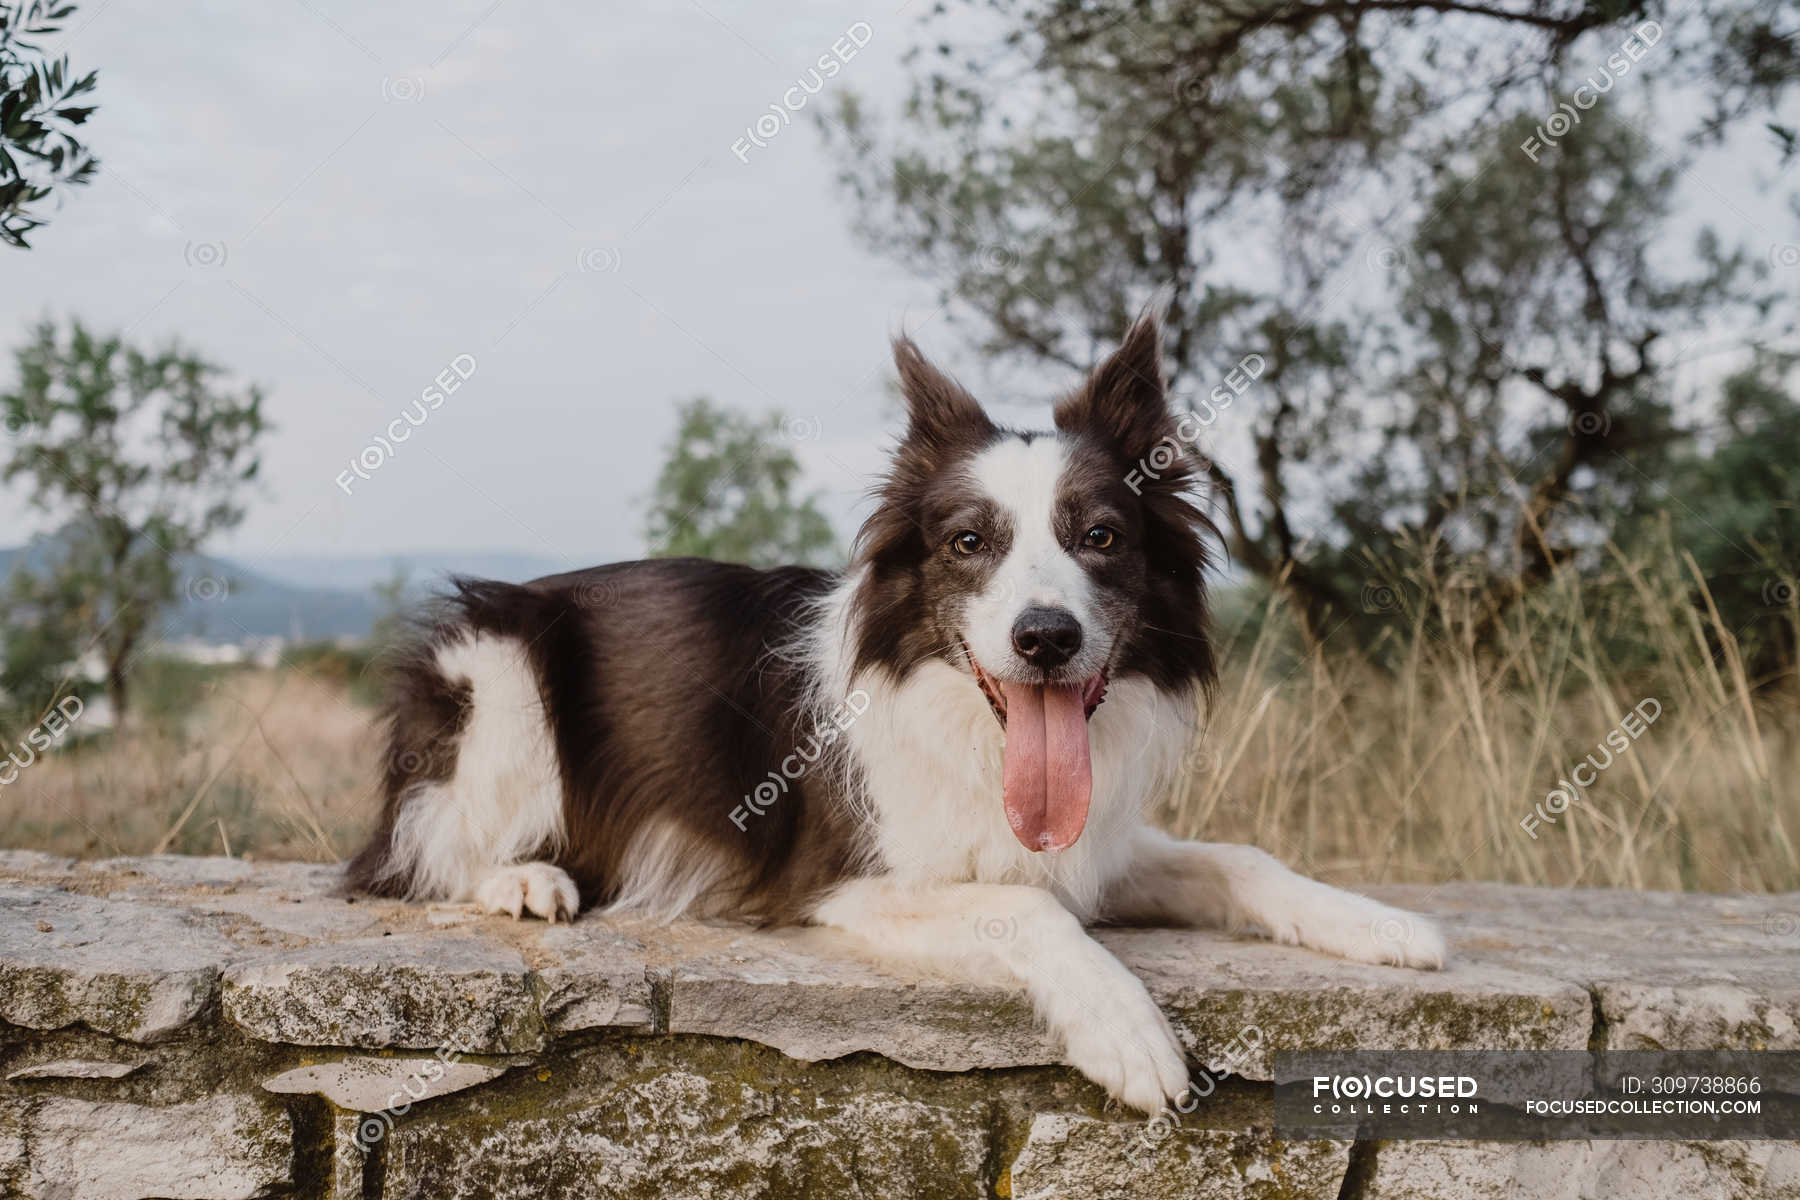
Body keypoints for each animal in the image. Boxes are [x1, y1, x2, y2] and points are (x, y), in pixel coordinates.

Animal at [347, 309, 1447, 1115]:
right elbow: (1028, 907)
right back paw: (525, 879)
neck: (966, 723)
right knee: (412, 855)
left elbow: (1236, 859)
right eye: (968, 542)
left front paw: (1380, 922)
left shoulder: (1090, 844)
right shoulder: (845, 882)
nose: (1045, 639)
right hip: (499, 673)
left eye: (1100, 536)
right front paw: (1127, 1031)